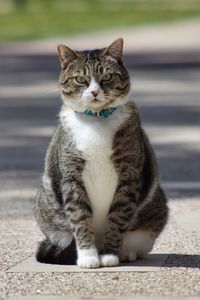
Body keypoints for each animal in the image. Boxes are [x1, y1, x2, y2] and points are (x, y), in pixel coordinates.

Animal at [34, 38, 169, 268]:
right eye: (80, 79)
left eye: (107, 77)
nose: (95, 92)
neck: (96, 119)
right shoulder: (72, 177)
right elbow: (80, 217)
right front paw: (88, 256)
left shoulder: (128, 176)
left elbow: (117, 217)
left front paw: (109, 255)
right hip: (46, 204)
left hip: (155, 206)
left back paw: (127, 252)